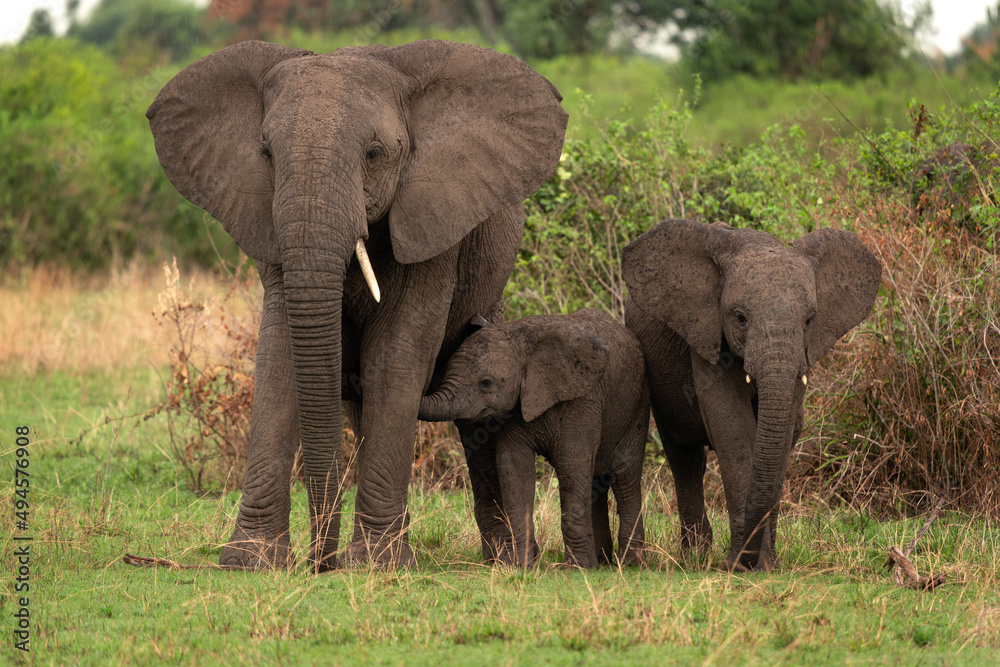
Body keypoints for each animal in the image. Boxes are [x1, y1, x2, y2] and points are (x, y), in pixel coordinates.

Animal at [148, 39, 572, 572]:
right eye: (266, 153)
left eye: (375, 154)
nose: (319, 564)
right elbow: (281, 358)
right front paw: (251, 561)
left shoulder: (431, 220)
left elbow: (394, 358)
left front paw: (376, 564)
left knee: (475, 415)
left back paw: (504, 559)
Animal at [420, 310, 648, 568]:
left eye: (486, 383)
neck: (522, 341)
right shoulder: (517, 406)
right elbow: (514, 469)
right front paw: (522, 565)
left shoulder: (582, 401)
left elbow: (572, 468)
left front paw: (576, 568)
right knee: (596, 481)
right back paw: (602, 561)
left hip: (637, 405)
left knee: (625, 477)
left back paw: (630, 563)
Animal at [620, 222, 880, 572]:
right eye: (740, 317)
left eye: (809, 320)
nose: (741, 562)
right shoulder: (707, 334)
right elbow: (734, 433)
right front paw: (740, 566)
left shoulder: (802, 355)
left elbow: (781, 436)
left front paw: (764, 566)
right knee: (684, 456)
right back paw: (695, 556)